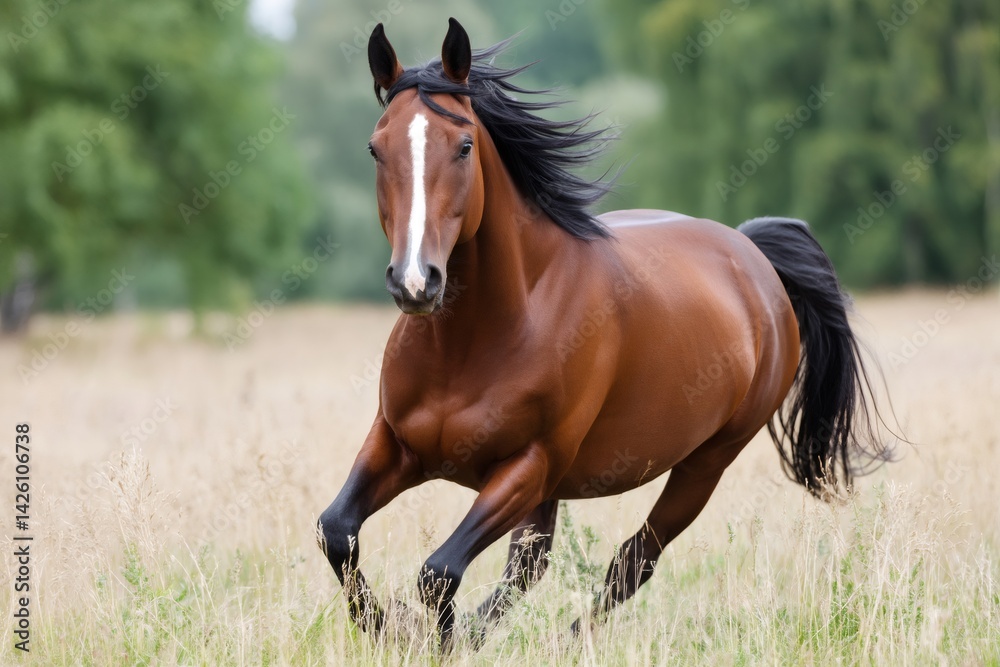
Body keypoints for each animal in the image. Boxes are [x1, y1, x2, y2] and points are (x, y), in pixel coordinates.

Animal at [318, 17, 891, 647]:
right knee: (533, 563)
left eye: (464, 146)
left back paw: (567, 638)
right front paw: (385, 627)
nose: (416, 282)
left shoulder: (527, 467)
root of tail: (750, 251)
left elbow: (438, 572)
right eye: (376, 148)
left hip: (704, 463)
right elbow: (337, 531)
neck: (476, 342)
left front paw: (421, 635)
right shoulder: (398, 444)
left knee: (632, 561)